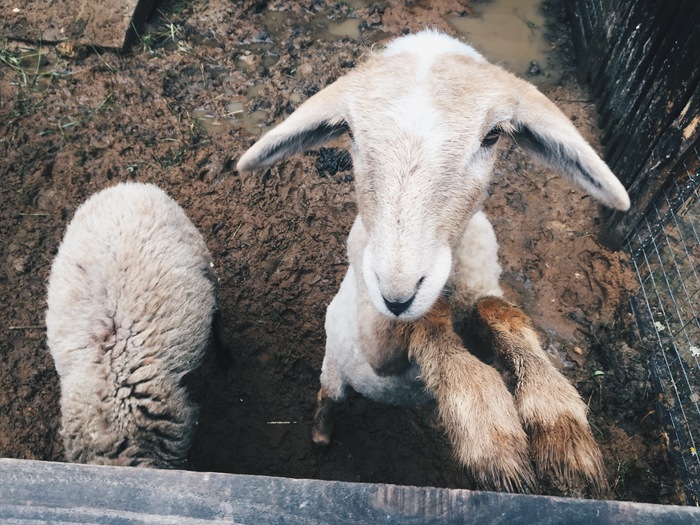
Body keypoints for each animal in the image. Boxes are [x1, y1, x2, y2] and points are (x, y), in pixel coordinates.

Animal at [237, 29, 629, 492]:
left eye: (492, 136)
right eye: (349, 131)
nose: (398, 294)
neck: (450, 278)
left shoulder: (483, 286)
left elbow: (498, 311)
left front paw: (561, 429)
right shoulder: (377, 340)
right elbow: (429, 328)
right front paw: (490, 431)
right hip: (335, 362)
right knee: (329, 396)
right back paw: (320, 433)